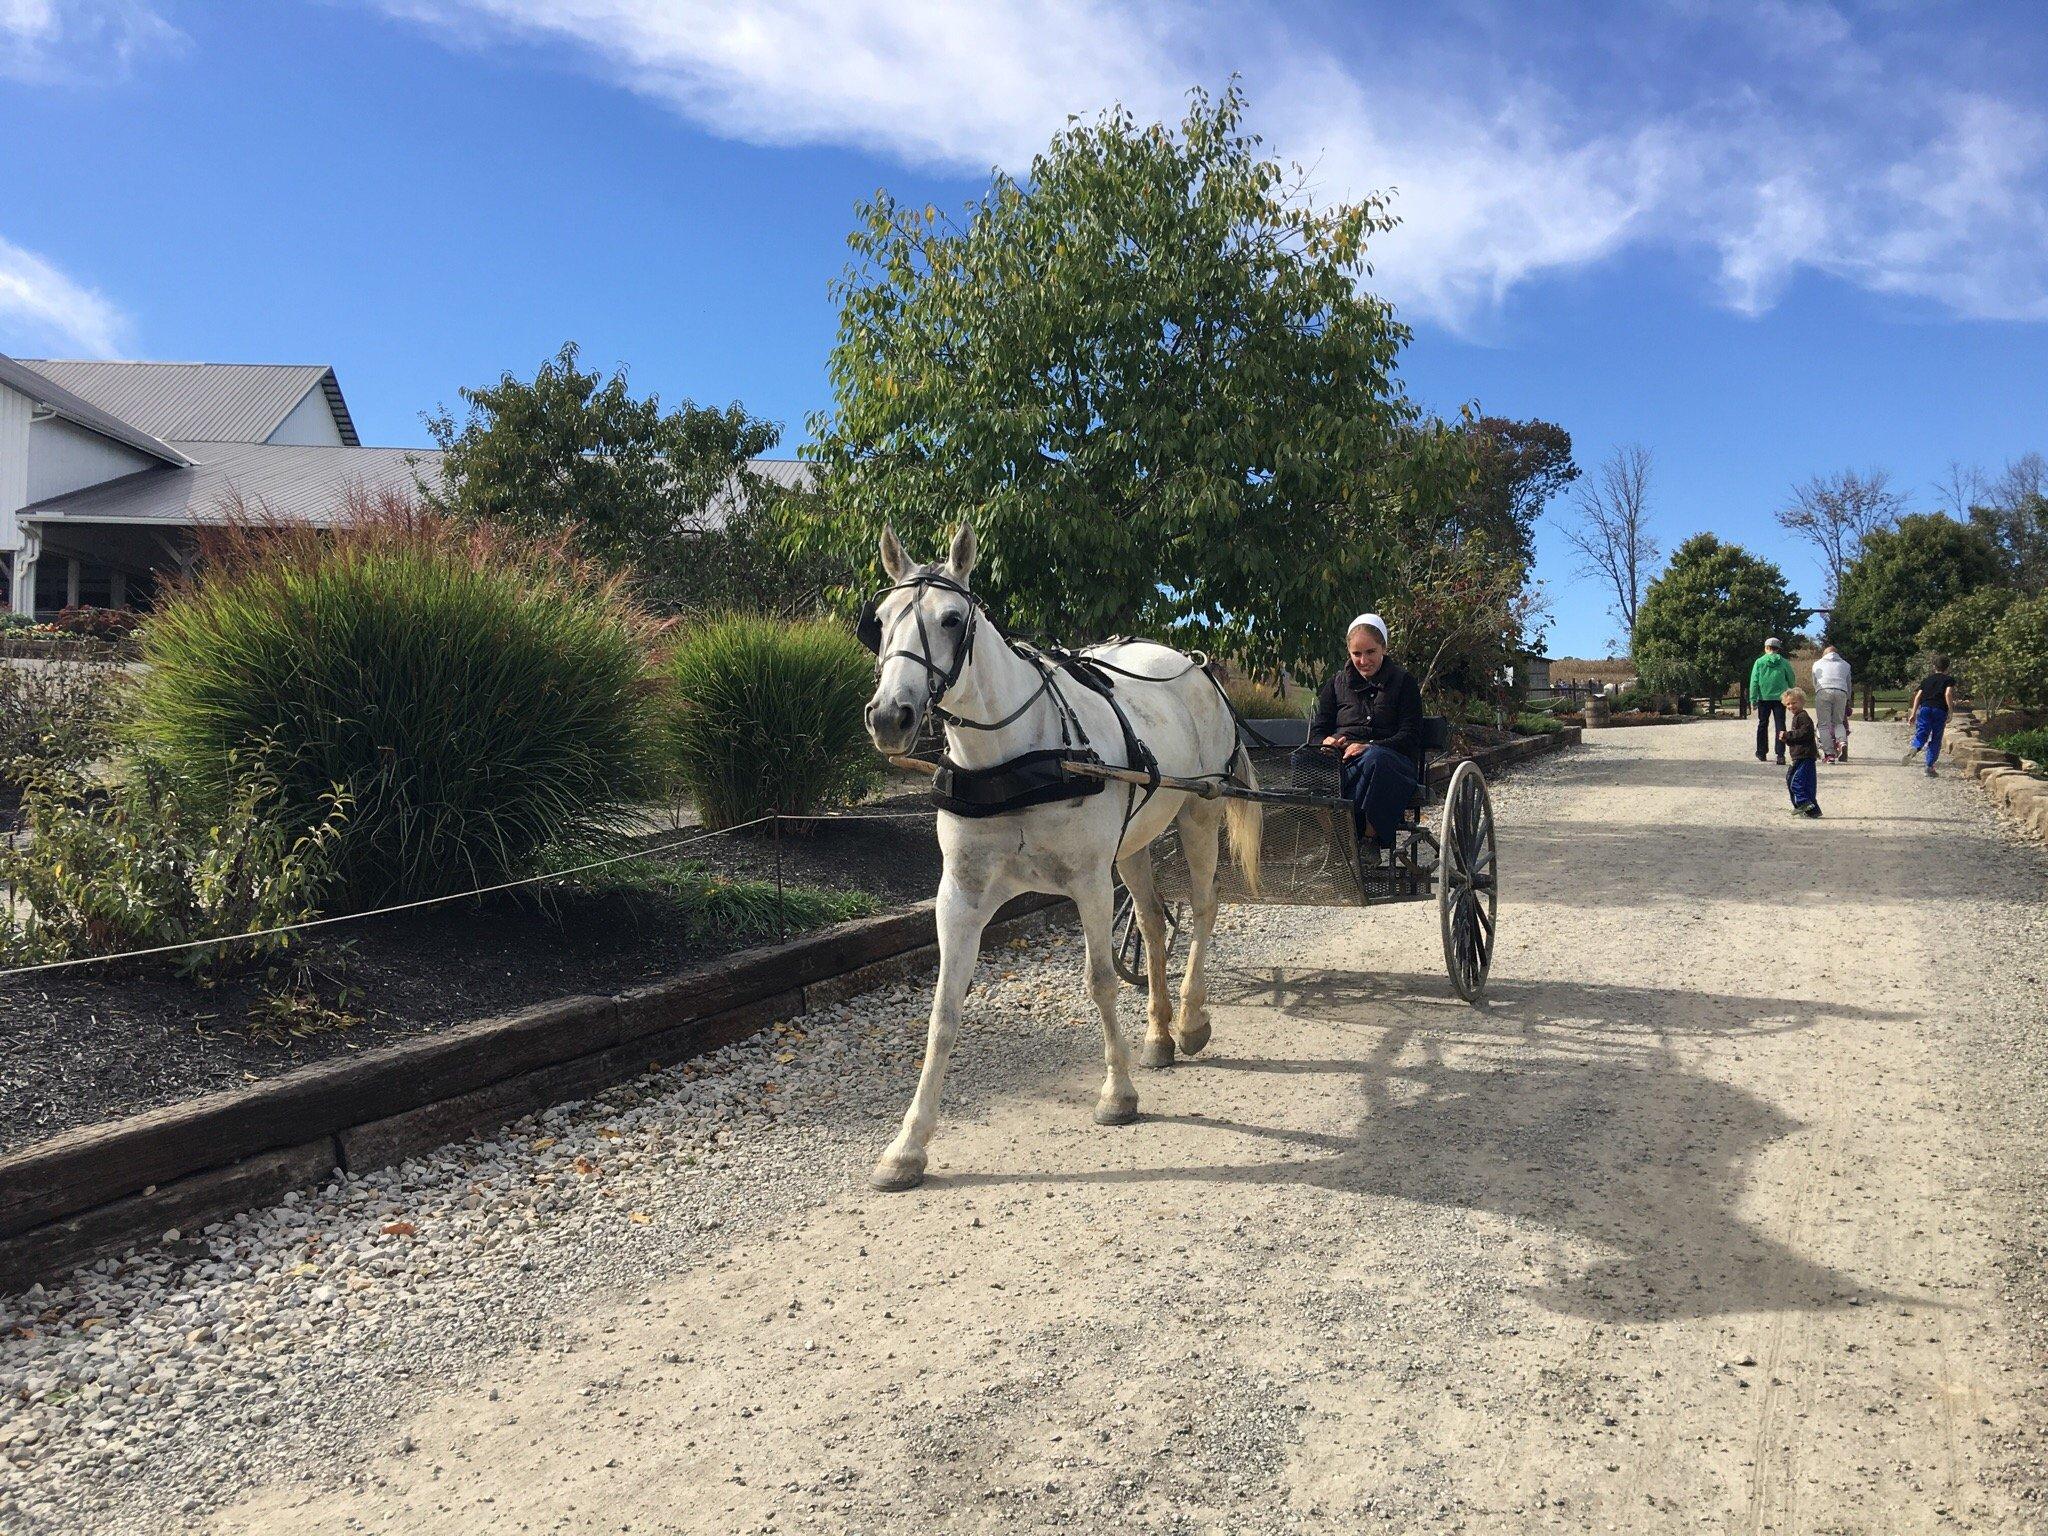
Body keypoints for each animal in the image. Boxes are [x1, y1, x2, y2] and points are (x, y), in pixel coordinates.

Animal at [856, 524, 1253, 1196]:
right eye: (879, 622)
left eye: (952, 619)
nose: (891, 716)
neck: (1015, 758)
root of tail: (1192, 665)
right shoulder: (959, 896)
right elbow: (943, 1011)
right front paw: (908, 1146)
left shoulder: (1089, 881)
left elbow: (1099, 980)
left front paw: (1118, 1094)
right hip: (1135, 844)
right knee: (1152, 923)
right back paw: (1159, 1033)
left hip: (1199, 814)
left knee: (1202, 909)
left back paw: (1191, 1020)